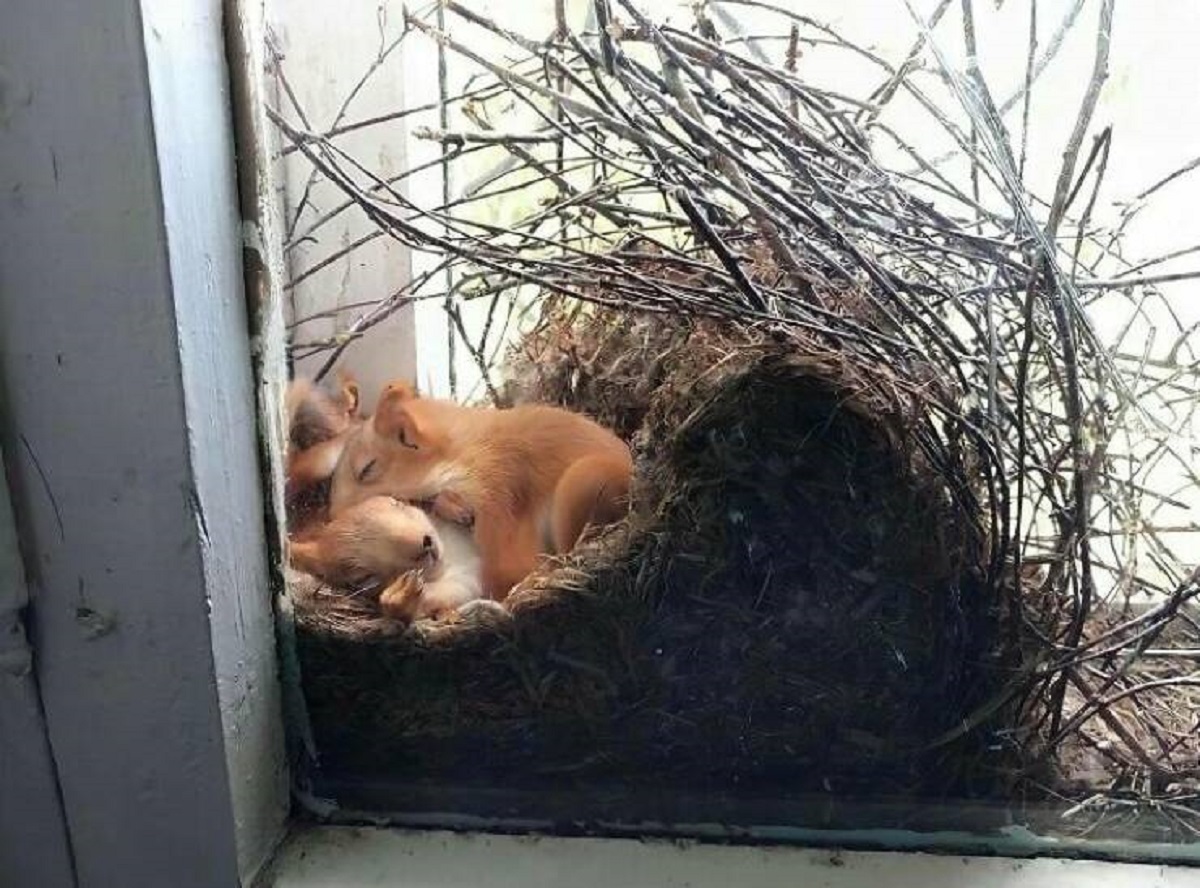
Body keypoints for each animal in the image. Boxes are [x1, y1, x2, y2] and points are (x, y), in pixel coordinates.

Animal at [324, 381, 633, 602]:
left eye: (367, 469)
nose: (330, 518)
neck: (461, 450)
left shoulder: (495, 490)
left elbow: (506, 567)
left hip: (582, 483)